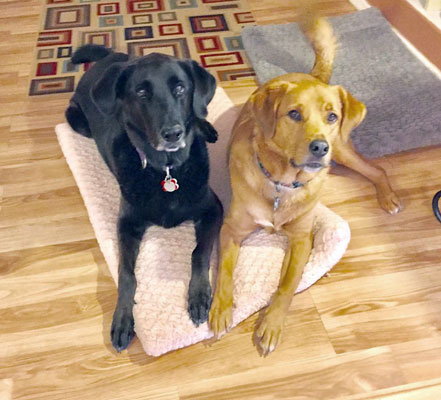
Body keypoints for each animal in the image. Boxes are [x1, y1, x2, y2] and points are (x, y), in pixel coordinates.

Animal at [65, 43, 223, 350]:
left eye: (180, 88)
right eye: (141, 93)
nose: (173, 133)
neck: (167, 169)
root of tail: (108, 58)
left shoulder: (213, 209)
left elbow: (199, 253)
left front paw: (199, 296)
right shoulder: (127, 224)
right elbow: (126, 273)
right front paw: (123, 319)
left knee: (200, 113)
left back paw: (207, 128)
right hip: (76, 120)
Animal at [208, 16, 400, 356]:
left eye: (331, 116)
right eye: (294, 114)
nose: (319, 147)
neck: (282, 184)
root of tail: (310, 74)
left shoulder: (301, 238)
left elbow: (287, 285)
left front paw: (271, 325)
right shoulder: (231, 229)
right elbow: (225, 272)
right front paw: (221, 309)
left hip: (341, 151)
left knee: (377, 169)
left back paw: (388, 197)